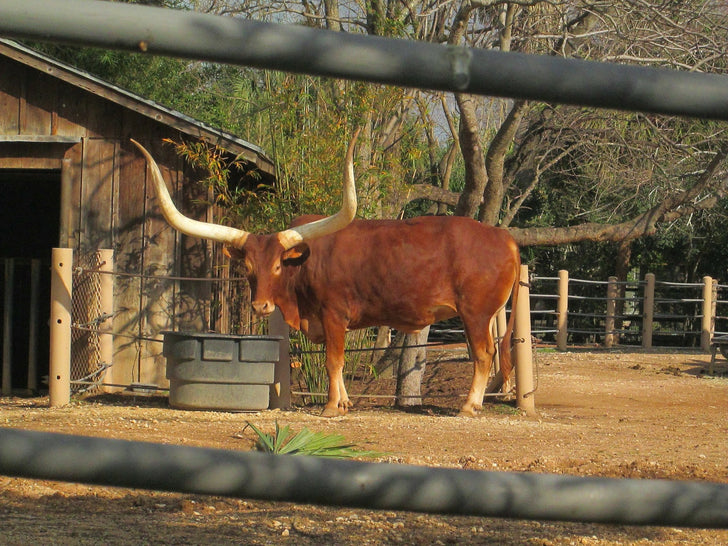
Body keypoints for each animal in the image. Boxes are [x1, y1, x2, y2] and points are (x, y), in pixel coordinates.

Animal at [131, 132, 520, 417]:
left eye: (277, 265)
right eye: (248, 268)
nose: (260, 307)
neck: (303, 265)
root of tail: (501, 236)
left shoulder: (334, 314)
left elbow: (335, 359)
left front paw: (332, 407)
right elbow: (338, 362)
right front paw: (344, 402)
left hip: (475, 313)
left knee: (483, 354)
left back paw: (469, 406)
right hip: (485, 315)